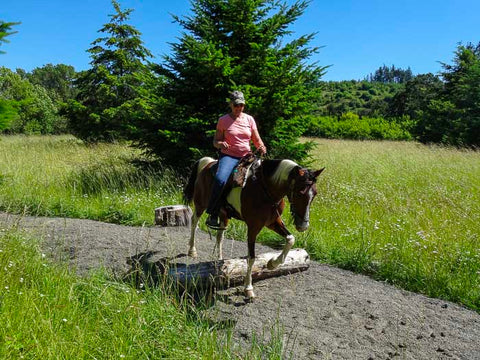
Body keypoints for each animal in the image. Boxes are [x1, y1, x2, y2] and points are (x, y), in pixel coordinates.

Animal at [182, 156, 324, 300]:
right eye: (300, 192)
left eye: (315, 193)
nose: (303, 225)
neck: (266, 190)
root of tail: (208, 162)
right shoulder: (253, 227)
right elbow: (251, 257)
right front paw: (248, 288)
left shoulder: (273, 222)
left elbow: (290, 239)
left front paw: (272, 263)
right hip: (200, 204)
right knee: (194, 223)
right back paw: (192, 250)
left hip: (223, 214)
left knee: (219, 236)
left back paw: (220, 259)